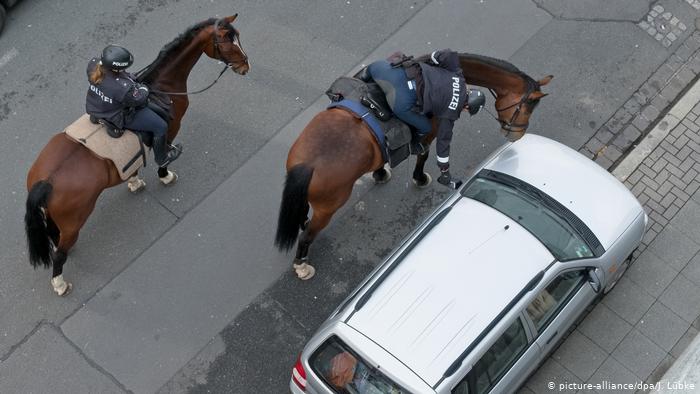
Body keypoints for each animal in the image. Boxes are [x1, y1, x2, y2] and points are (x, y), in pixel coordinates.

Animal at [24, 16, 249, 298]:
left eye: (238, 36)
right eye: (228, 43)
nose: (246, 66)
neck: (161, 87)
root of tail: (46, 181)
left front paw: (133, 180)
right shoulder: (169, 128)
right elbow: (164, 153)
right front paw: (165, 174)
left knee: (56, 238)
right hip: (75, 220)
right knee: (60, 256)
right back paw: (60, 283)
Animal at [274, 53, 552, 280]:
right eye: (527, 106)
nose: (516, 134)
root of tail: (307, 164)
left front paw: (380, 172)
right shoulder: (434, 129)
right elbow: (426, 153)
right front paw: (422, 177)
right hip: (329, 207)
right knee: (307, 236)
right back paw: (302, 265)